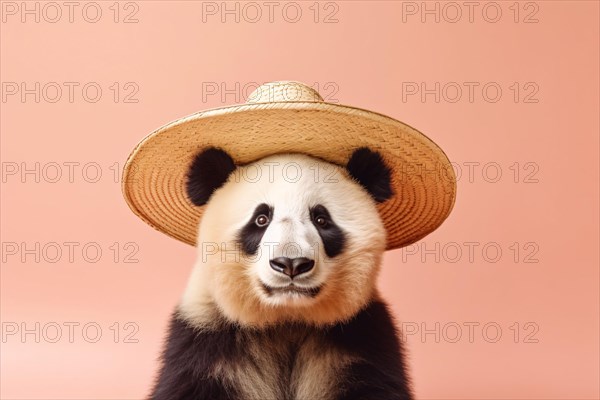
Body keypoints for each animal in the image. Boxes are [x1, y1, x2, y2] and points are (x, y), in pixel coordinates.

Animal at [151, 146, 412, 400]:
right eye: (261, 219)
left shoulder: (361, 342)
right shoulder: (205, 342)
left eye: (321, 219)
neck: (286, 321)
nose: (291, 264)